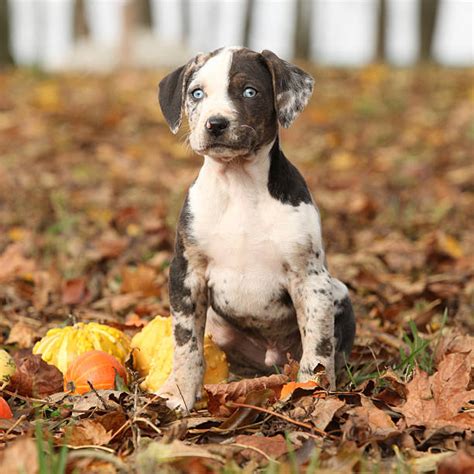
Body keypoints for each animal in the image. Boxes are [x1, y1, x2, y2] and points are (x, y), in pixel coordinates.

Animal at [157, 47, 354, 412]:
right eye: (196, 94)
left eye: (250, 92)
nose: (215, 124)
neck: (239, 185)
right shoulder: (186, 273)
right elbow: (186, 344)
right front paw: (179, 391)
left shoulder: (311, 280)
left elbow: (319, 349)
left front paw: (313, 394)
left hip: (339, 293)